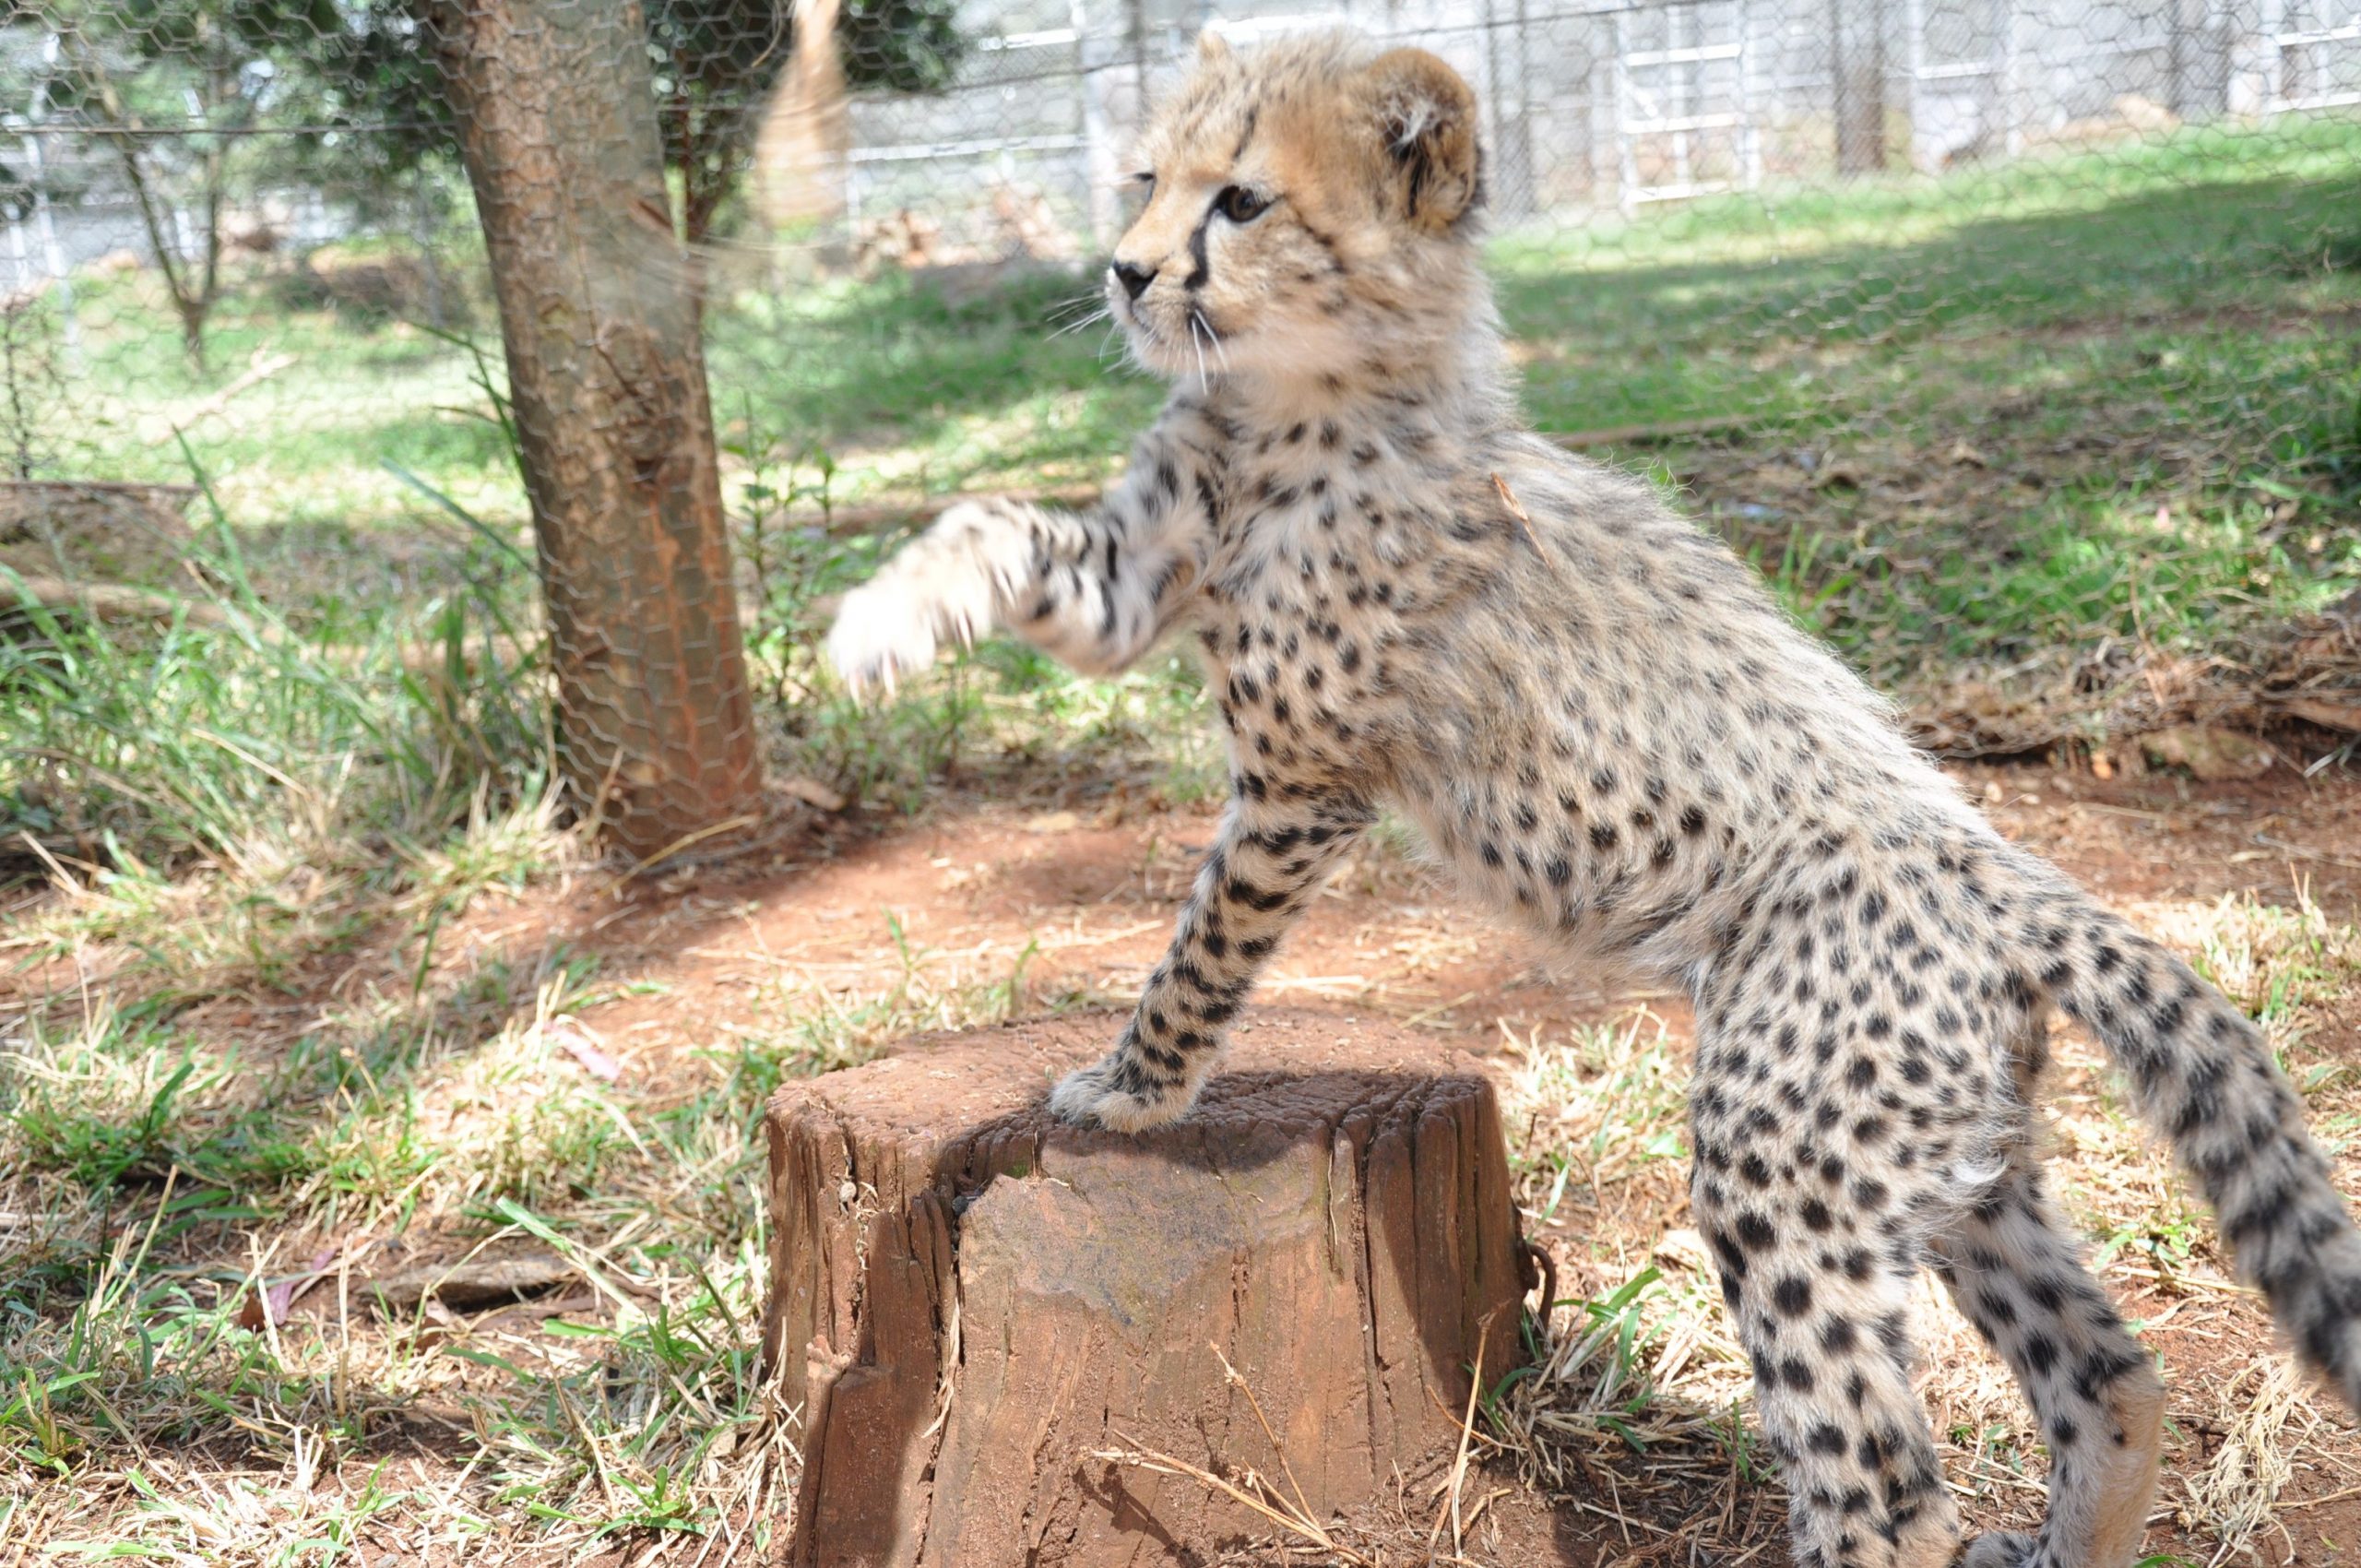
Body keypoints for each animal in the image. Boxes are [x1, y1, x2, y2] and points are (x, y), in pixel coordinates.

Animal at [824, 29, 2361, 1568]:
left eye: (1242, 203)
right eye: (1148, 180)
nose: (1128, 272)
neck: (1300, 395)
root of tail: (2002, 873)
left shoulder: (1302, 771)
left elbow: (1203, 946)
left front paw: (1133, 1090)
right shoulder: (1138, 585)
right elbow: (989, 520)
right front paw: (873, 627)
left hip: (1784, 1161)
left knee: (1886, 1488)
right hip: (1959, 1168)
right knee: (2110, 1375)